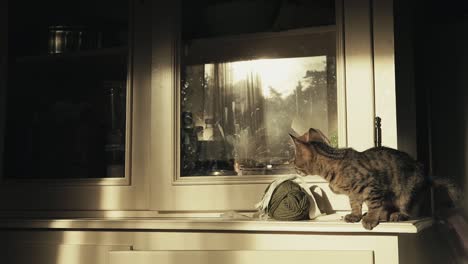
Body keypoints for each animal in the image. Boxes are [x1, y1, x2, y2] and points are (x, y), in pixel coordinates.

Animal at [290, 128, 458, 229]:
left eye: (294, 161)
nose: (291, 165)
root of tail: (425, 177)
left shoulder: (372, 186)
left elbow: (373, 205)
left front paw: (370, 218)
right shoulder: (354, 194)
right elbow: (355, 205)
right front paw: (356, 215)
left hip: (406, 192)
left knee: (406, 209)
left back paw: (397, 215)